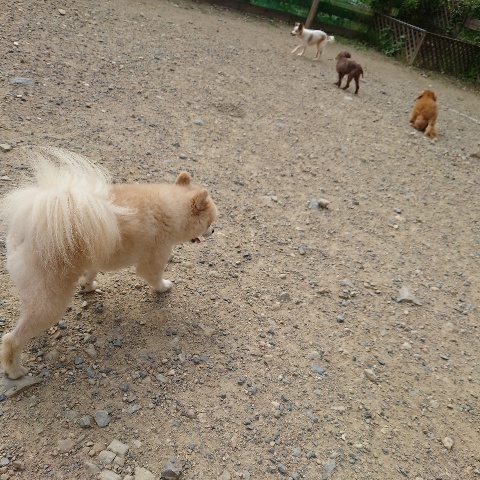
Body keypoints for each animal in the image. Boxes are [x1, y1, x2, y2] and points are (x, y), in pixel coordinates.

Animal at [0, 148, 217, 379]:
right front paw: (164, 287)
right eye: (209, 222)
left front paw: (88, 286)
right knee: (11, 339)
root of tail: (27, 230)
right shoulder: (155, 256)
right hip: (51, 300)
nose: (213, 230)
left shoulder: (96, 254)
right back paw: (15, 370)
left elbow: (91, 273)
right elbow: (155, 277)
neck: (169, 209)